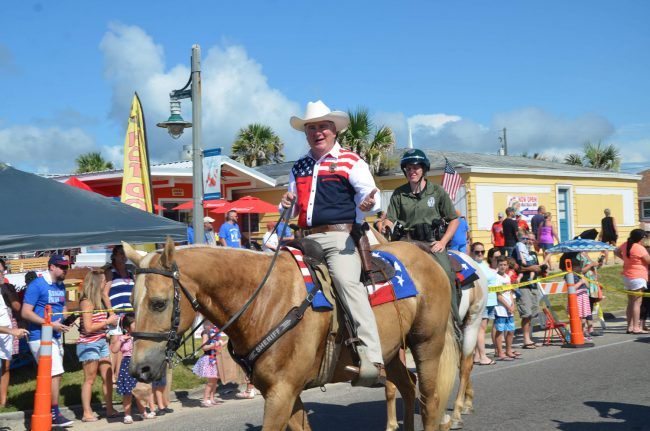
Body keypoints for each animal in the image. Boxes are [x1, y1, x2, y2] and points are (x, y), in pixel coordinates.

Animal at [121, 240, 456, 431]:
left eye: (158, 303)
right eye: (131, 304)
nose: (140, 369)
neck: (264, 301)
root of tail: (425, 253)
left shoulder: (281, 394)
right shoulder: (284, 393)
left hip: (427, 344)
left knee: (430, 401)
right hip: (392, 352)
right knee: (408, 388)